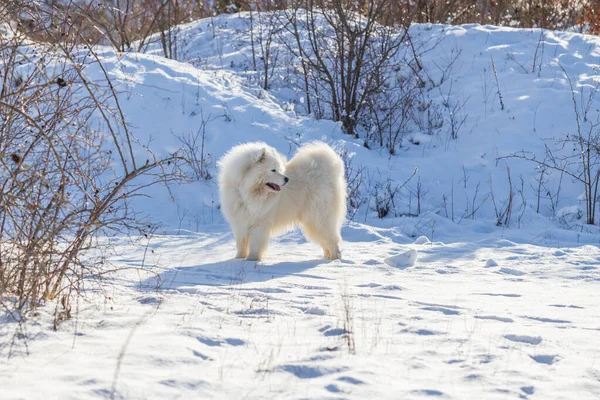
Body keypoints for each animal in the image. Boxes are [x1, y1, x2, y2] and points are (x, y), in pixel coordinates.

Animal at [218, 142, 346, 260]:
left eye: (279, 169)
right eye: (273, 170)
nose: (287, 179)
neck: (247, 192)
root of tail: (329, 172)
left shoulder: (259, 224)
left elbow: (255, 245)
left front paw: (251, 259)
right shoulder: (240, 223)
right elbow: (241, 244)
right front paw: (238, 258)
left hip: (318, 218)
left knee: (332, 241)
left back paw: (334, 260)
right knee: (326, 243)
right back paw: (327, 258)